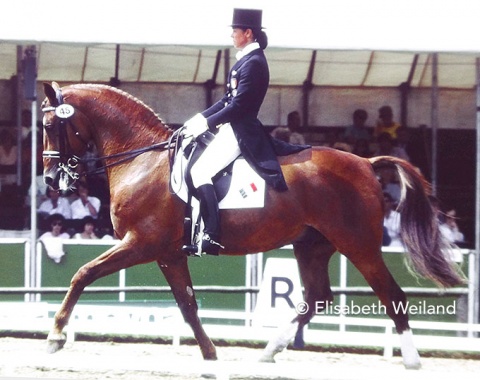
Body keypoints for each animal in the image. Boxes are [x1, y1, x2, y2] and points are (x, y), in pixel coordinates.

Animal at [42, 81, 464, 368]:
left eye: (48, 126)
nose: (49, 180)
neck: (142, 159)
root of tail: (365, 162)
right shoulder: (167, 253)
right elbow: (188, 304)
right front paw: (211, 355)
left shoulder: (141, 242)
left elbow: (83, 273)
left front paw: (56, 335)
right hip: (312, 245)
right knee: (316, 297)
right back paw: (269, 351)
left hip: (359, 245)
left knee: (392, 295)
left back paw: (411, 360)